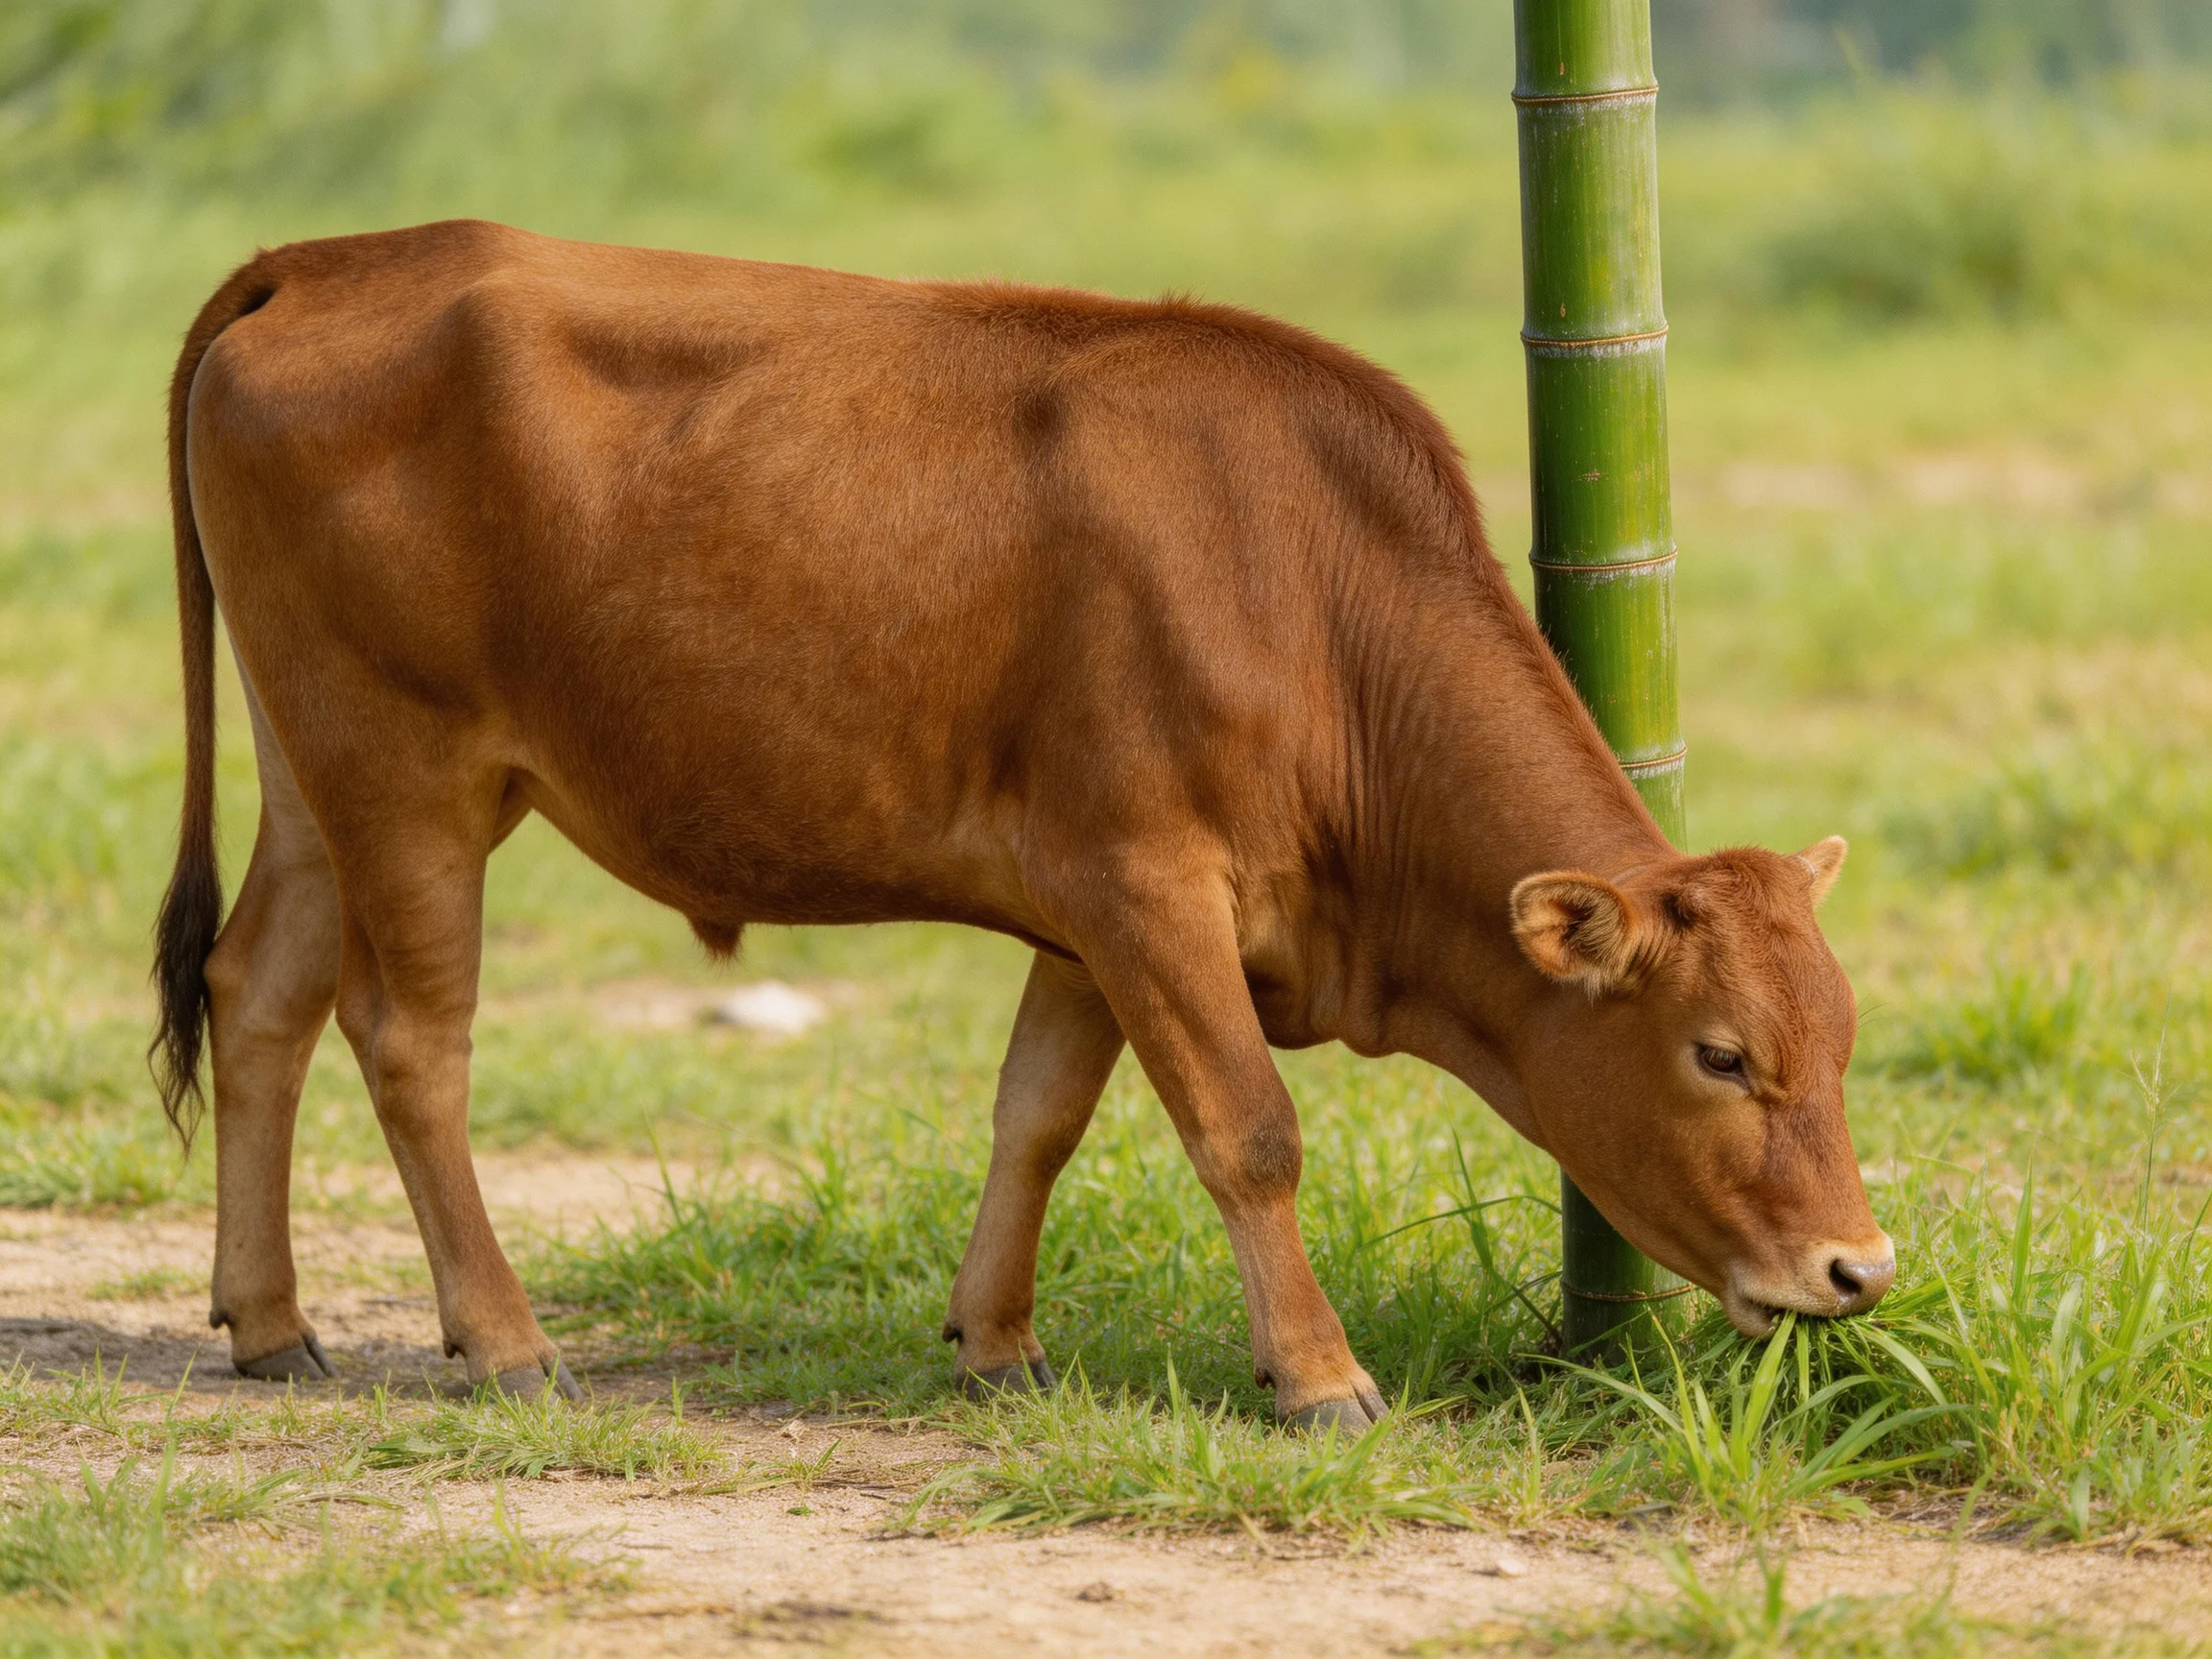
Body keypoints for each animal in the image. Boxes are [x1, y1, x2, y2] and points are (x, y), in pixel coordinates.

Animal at [151, 220, 1893, 1427]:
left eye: (1843, 1039)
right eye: (1718, 1054)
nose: (1855, 1269)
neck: (1307, 596)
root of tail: (325, 260)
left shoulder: (1087, 903)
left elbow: (1035, 1113)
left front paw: (994, 1341)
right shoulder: (1145, 880)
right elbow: (1247, 1128)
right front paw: (1318, 1375)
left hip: (310, 770)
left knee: (259, 994)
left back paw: (270, 1320)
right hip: (408, 773)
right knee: (408, 1041)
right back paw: (505, 1342)